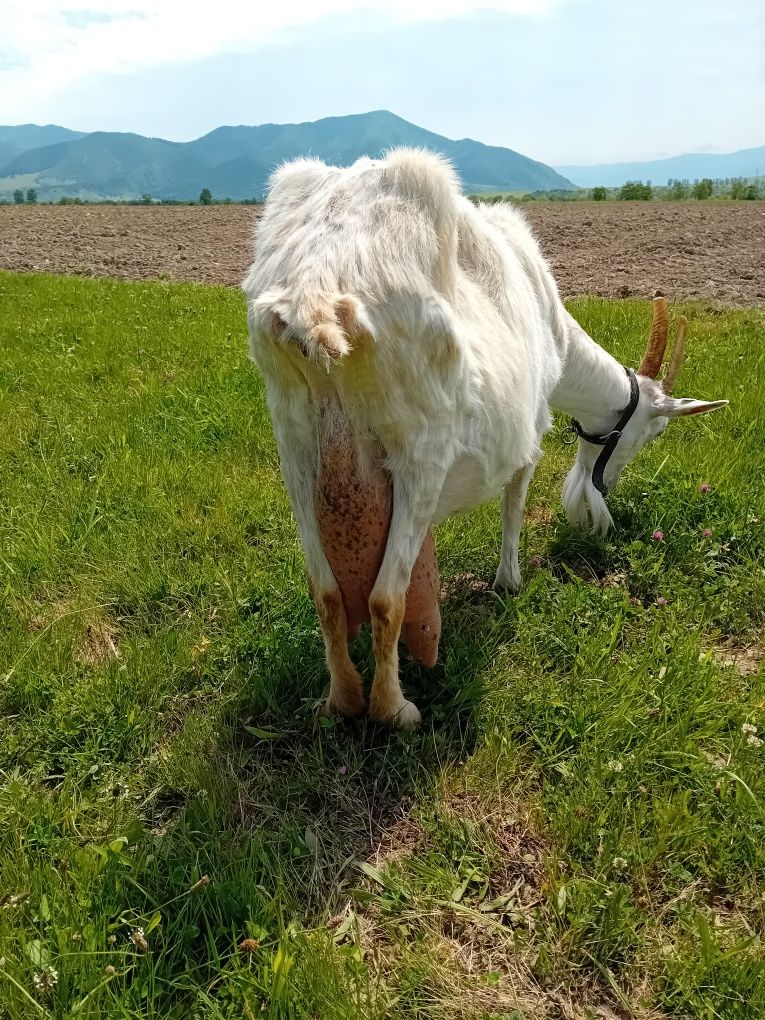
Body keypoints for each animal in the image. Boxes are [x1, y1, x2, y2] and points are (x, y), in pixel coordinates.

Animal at [242, 147, 726, 730]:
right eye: (651, 433)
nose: (605, 490)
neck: (555, 328)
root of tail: (317, 299)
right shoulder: (531, 434)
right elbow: (514, 503)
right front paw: (508, 581)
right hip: (419, 451)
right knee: (385, 599)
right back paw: (395, 708)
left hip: (296, 450)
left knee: (327, 594)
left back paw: (340, 700)